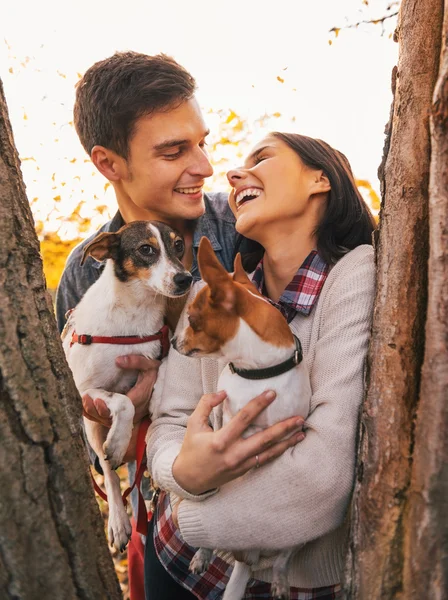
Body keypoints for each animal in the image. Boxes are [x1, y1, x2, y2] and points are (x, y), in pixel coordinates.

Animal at [62, 221, 192, 552]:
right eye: (146, 249)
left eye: (178, 245)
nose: (185, 278)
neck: (134, 313)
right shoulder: (83, 392)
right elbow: (124, 402)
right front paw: (118, 442)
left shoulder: (156, 364)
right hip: (92, 428)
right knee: (108, 473)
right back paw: (119, 523)